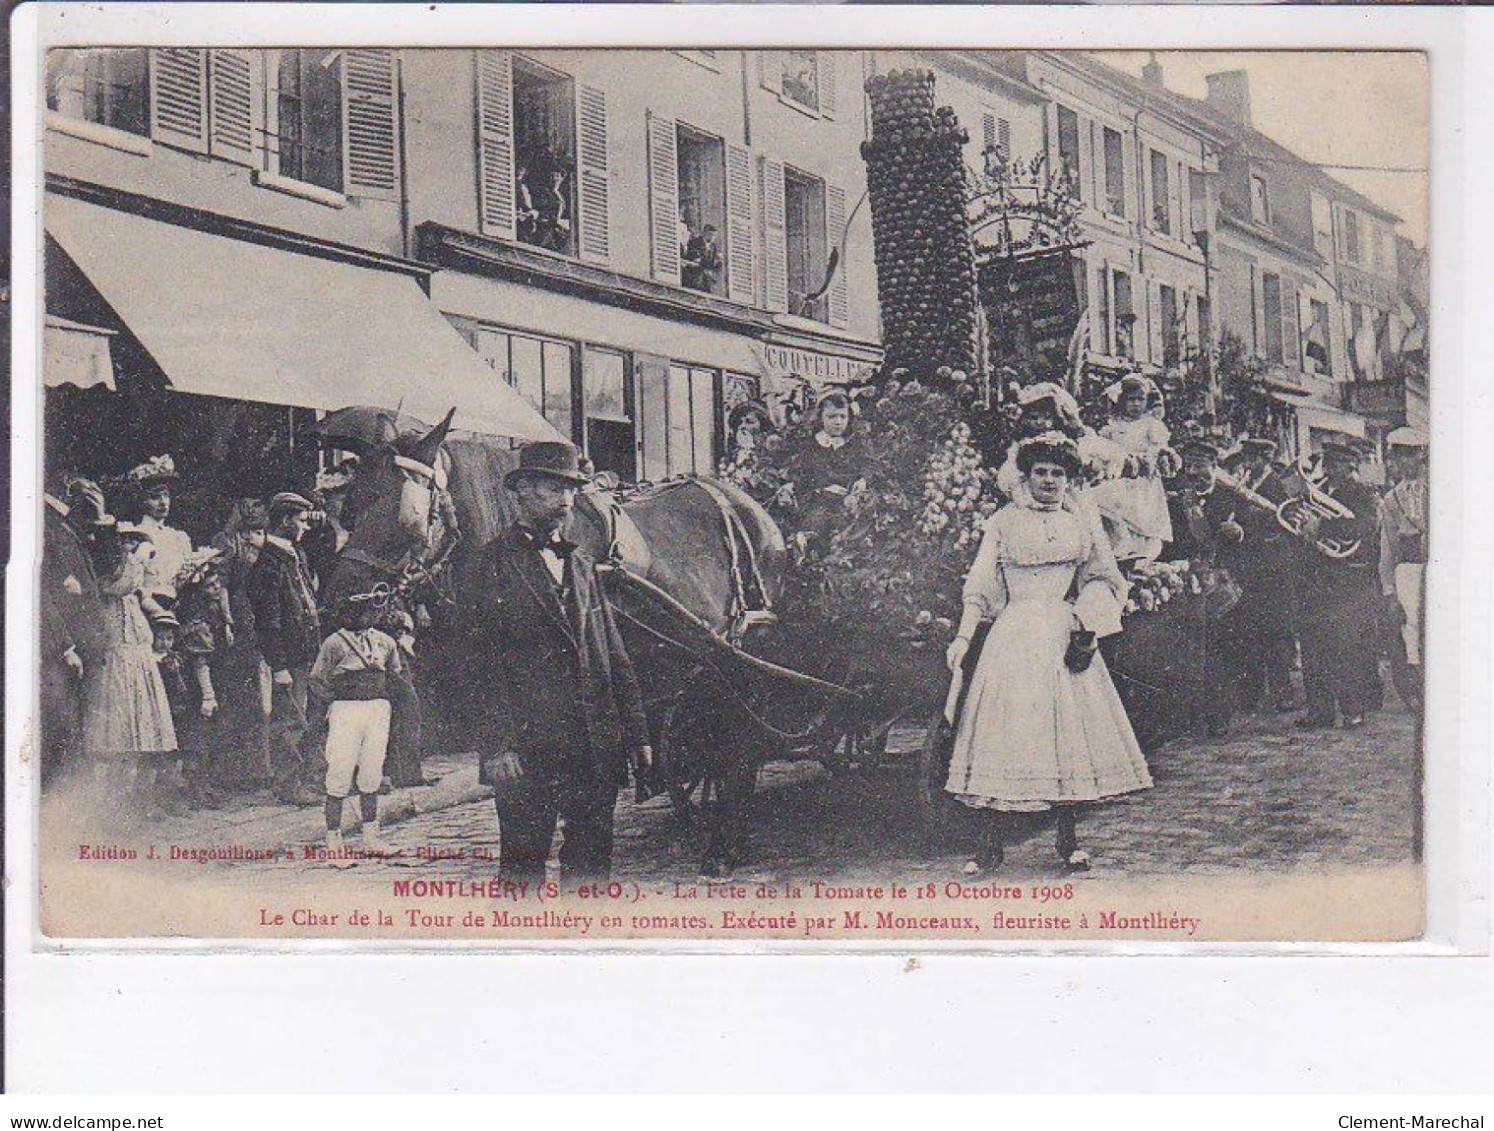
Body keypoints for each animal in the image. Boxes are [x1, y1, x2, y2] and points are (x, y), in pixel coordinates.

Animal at [321, 412, 800, 872]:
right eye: (352, 505)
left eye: (408, 515)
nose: (341, 598)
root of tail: (753, 509)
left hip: (740, 654)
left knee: (738, 744)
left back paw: (723, 844)